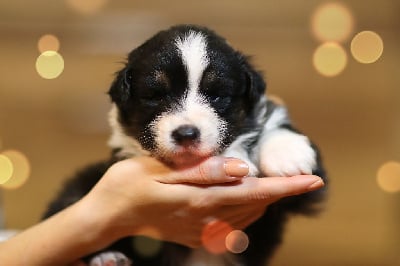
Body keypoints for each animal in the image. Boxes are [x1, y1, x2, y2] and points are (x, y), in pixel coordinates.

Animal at [43, 25, 324, 266]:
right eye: (155, 96)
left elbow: (273, 124)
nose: (186, 133)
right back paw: (107, 257)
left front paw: (287, 155)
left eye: (216, 95)